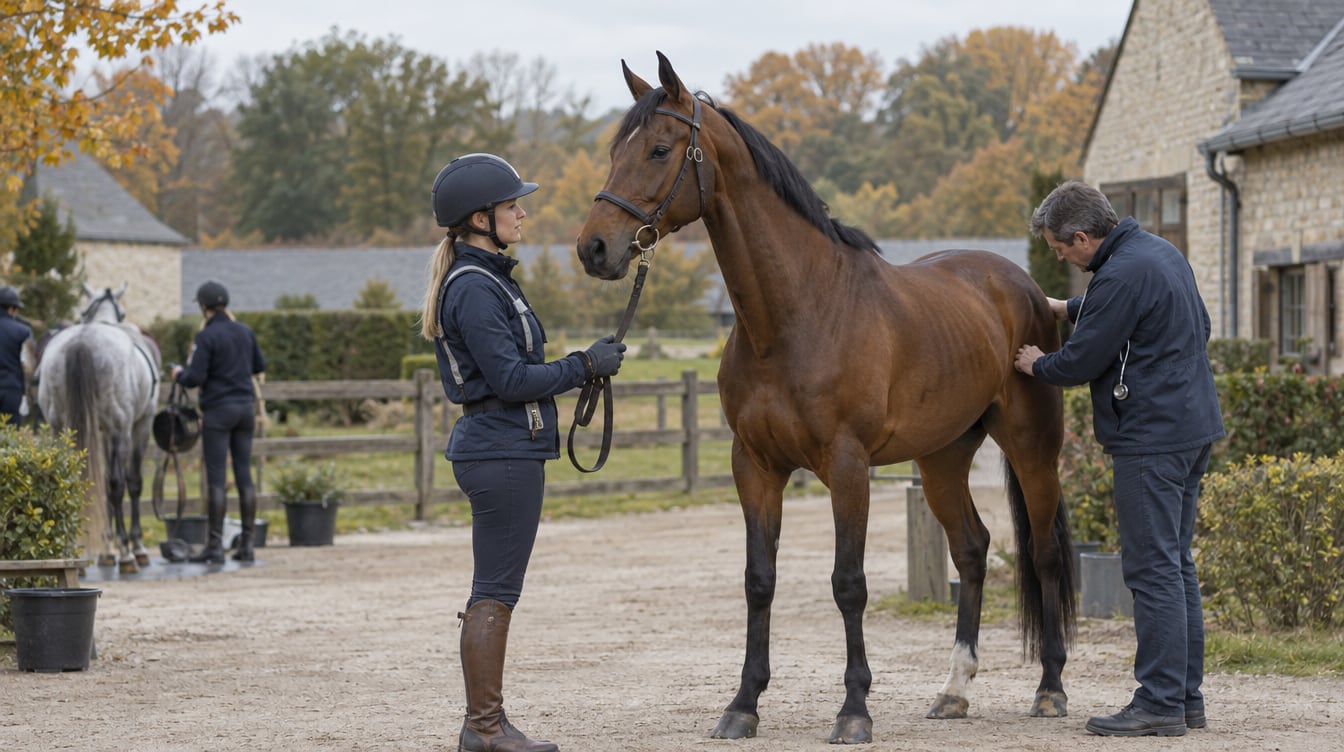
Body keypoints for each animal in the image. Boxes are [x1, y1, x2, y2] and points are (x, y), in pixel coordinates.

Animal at [37, 283, 161, 574]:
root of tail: (82, 343)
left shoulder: (101, 433)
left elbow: (100, 485)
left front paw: (106, 551)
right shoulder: (138, 426)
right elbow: (131, 483)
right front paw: (135, 548)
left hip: (60, 428)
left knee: (67, 482)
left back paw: (71, 554)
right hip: (120, 429)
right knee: (117, 484)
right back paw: (127, 554)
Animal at [575, 53, 1075, 744]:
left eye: (657, 149)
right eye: (613, 152)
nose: (594, 248)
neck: (796, 315)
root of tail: (1024, 287)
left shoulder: (847, 465)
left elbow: (848, 583)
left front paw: (854, 709)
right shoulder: (755, 465)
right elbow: (759, 581)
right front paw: (743, 704)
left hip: (1031, 447)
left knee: (1046, 553)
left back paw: (1050, 689)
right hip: (942, 458)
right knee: (972, 549)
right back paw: (953, 691)